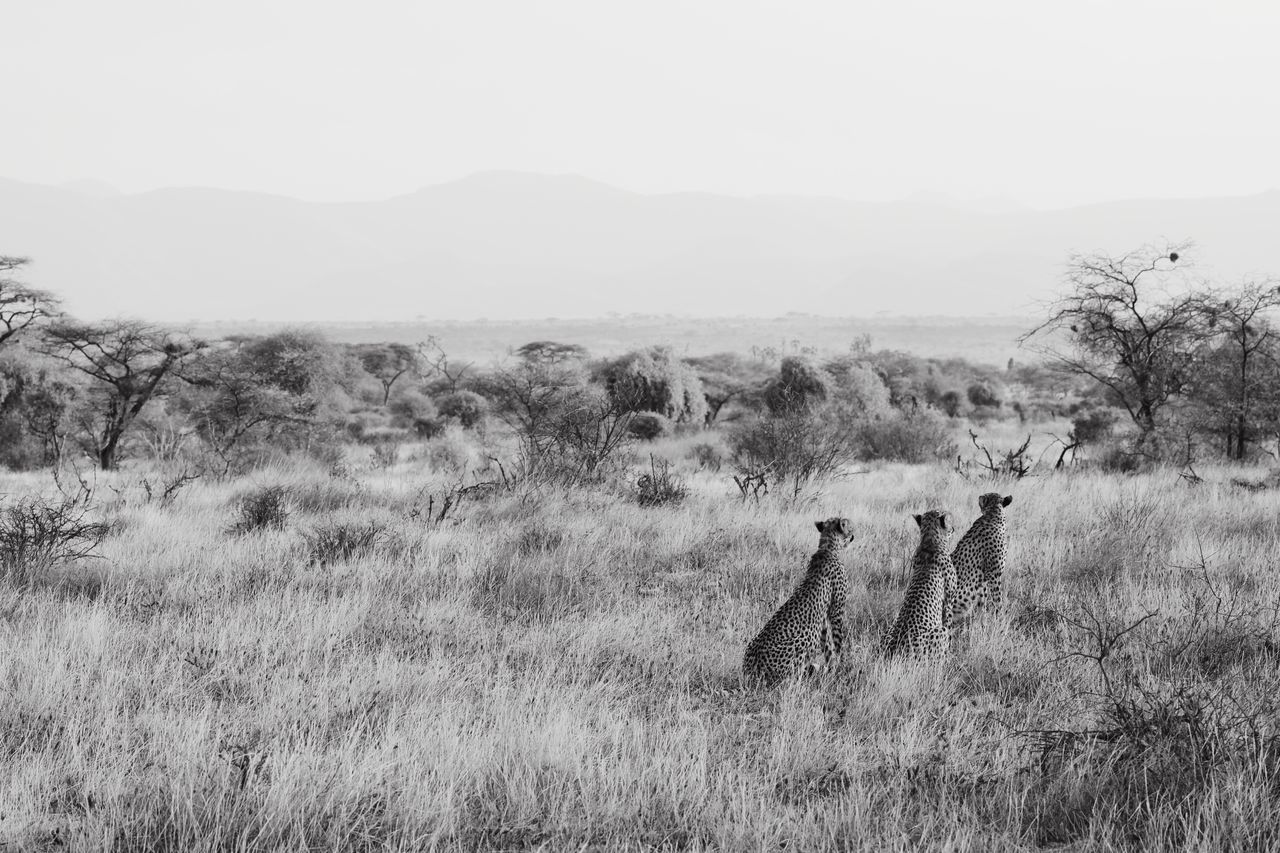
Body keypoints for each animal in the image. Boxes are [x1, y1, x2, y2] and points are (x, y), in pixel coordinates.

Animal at [742, 514, 849, 681]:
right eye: (848, 525)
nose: (852, 534)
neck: (828, 547)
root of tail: (751, 670)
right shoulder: (836, 611)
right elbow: (838, 642)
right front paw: (841, 666)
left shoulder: (823, 620)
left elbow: (827, 646)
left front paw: (832, 669)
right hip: (803, 640)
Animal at [885, 507, 957, 660]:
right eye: (949, 521)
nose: (953, 528)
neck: (929, 542)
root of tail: (893, 650)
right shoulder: (949, 600)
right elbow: (949, 627)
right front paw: (950, 654)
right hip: (938, 632)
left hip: (891, 625)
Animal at [947, 489, 1013, 622]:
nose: (979, 498)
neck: (993, 516)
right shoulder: (993, 574)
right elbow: (997, 600)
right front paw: (1000, 618)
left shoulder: (983, 579)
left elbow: (982, 602)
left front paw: (981, 620)